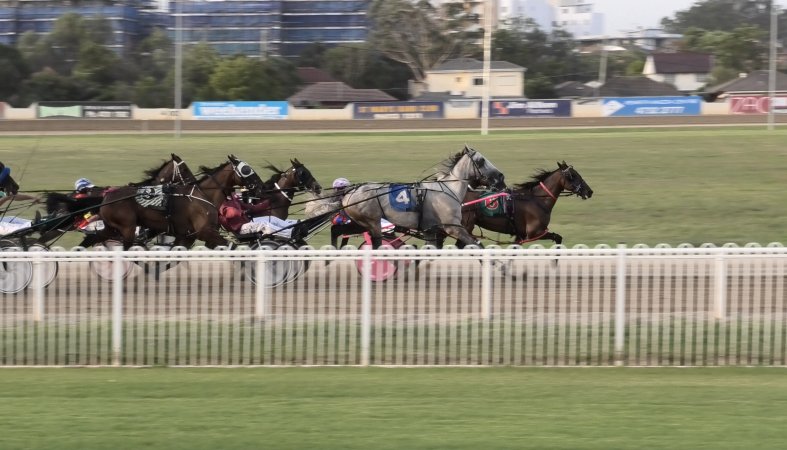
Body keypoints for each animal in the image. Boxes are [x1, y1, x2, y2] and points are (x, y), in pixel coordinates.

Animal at [97, 156, 264, 250]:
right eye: (247, 170)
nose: (261, 187)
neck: (204, 195)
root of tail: (107, 197)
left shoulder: (187, 235)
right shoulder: (204, 232)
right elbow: (230, 245)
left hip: (113, 228)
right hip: (128, 229)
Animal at [342, 145, 508, 248]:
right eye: (481, 161)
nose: (501, 178)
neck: (449, 190)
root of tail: (349, 193)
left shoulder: (431, 231)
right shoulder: (453, 228)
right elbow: (477, 245)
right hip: (373, 222)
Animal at [458, 161, 596, 248]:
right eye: (573, 175)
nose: (589, 191)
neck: (537, 200)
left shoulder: (520, 237)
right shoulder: (535, 233)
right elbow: (558, 238)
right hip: (466, 226)